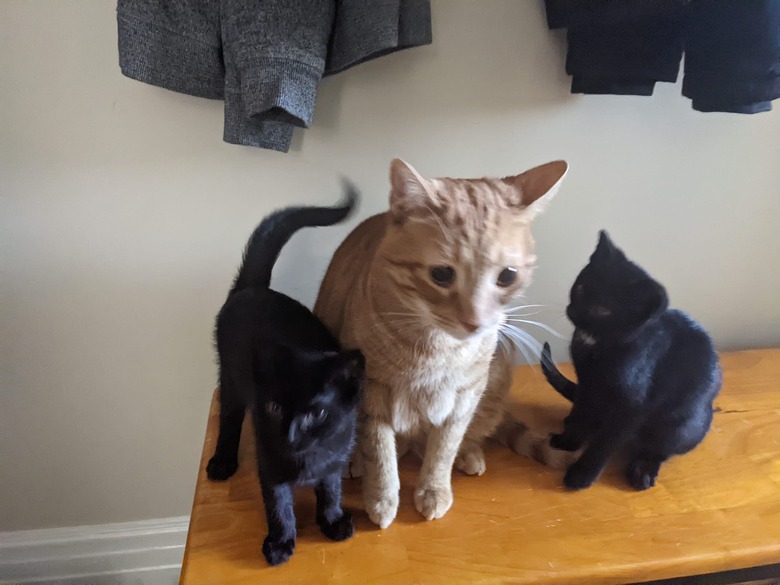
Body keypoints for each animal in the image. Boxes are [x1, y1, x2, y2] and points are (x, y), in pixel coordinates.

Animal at [207, 184, 366, 564]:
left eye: (317, 413)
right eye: (275, 408)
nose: (290, 434)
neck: (305, 458)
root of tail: (252, 288)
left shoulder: (336, 454)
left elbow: (331, 488)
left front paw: (333, 521)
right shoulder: (270, 458)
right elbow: (279, 505)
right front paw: (280, 544)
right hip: (231, 377)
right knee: (230, 417)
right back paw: (222, 462)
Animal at [314, 157, 568, 528]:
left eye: (507, 276)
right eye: (442, 275)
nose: (475, 321)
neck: (438, 349)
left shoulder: (465, 396)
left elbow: (444, 447)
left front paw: (433, 489)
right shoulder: (371, 391)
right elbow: (379, 451)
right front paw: (382, 499)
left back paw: (470, 454)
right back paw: (356, 462)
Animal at [540, 230, 724, 490]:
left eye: (602, 310)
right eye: (581, 287)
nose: (573, 310)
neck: (597, 341)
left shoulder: (632, 407)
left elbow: (604, 444)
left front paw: (581, 476)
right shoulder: (588, 385)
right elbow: (580, 415)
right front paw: (568, 441)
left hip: (684, 425)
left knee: (659, 448)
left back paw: (642, 470)